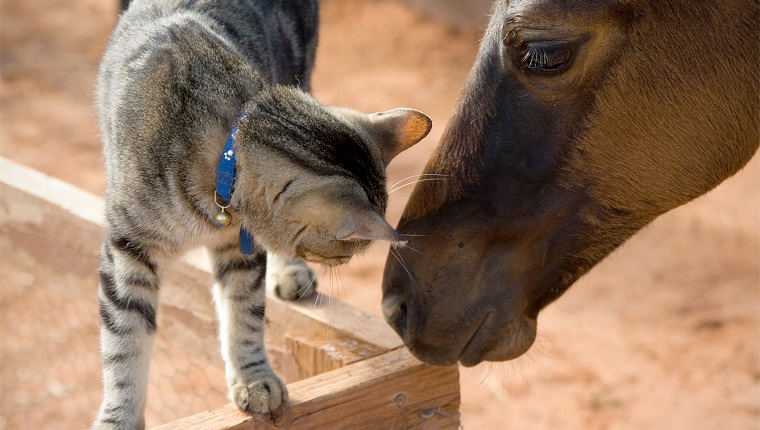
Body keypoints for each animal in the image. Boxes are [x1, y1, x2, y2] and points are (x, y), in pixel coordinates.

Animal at [92, 1, 430, 428]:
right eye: (344, 253)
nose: (338, 265)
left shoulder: (242, 250)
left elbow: (245, 316)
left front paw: (254, 379)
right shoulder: (127, 249)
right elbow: (124, 344)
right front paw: (119, 416)